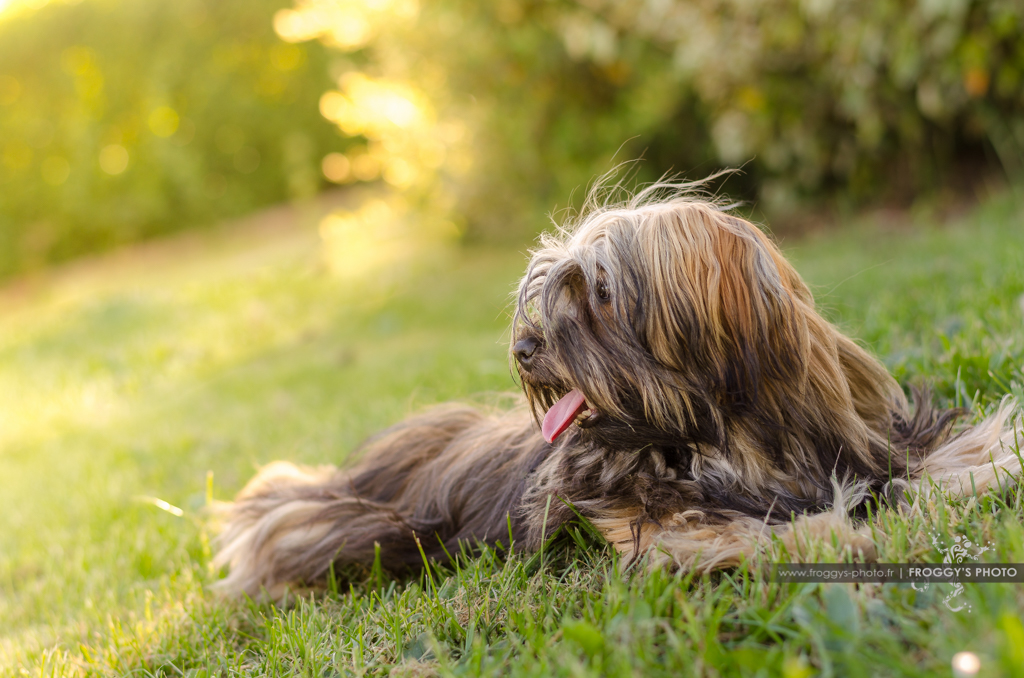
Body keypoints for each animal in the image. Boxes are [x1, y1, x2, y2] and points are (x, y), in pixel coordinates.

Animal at [211, 182, 1019, 602]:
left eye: (597, 294)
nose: (525, 349)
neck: (730, 435)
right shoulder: (654, 523)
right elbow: (743, 531)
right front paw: (842, 535)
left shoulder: (869, 442)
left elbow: (931, 463)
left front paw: (994, 461)